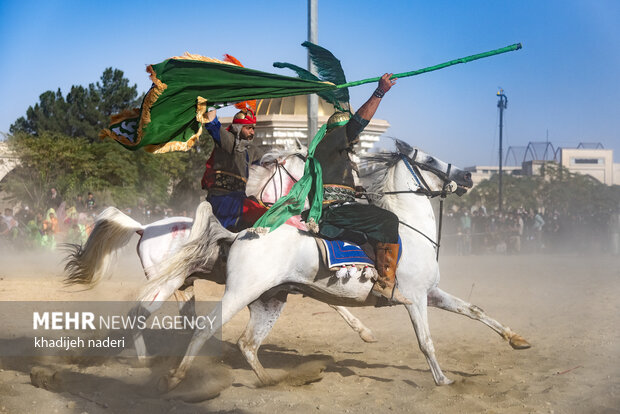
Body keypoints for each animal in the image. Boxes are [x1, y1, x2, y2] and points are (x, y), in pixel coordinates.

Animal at [155, 141, 528, 390]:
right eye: (430, 159)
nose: (467, 176)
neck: (409, 230)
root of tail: (241, 234)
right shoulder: (415, 299)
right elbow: (426, 341)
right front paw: (442, 379)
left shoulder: (431, 292)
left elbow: (475, 310)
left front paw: (516, 339)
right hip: (240, 292)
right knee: (205, 329)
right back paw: (175, 378)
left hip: (270, 300)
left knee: (248, 344)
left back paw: (270, 381)